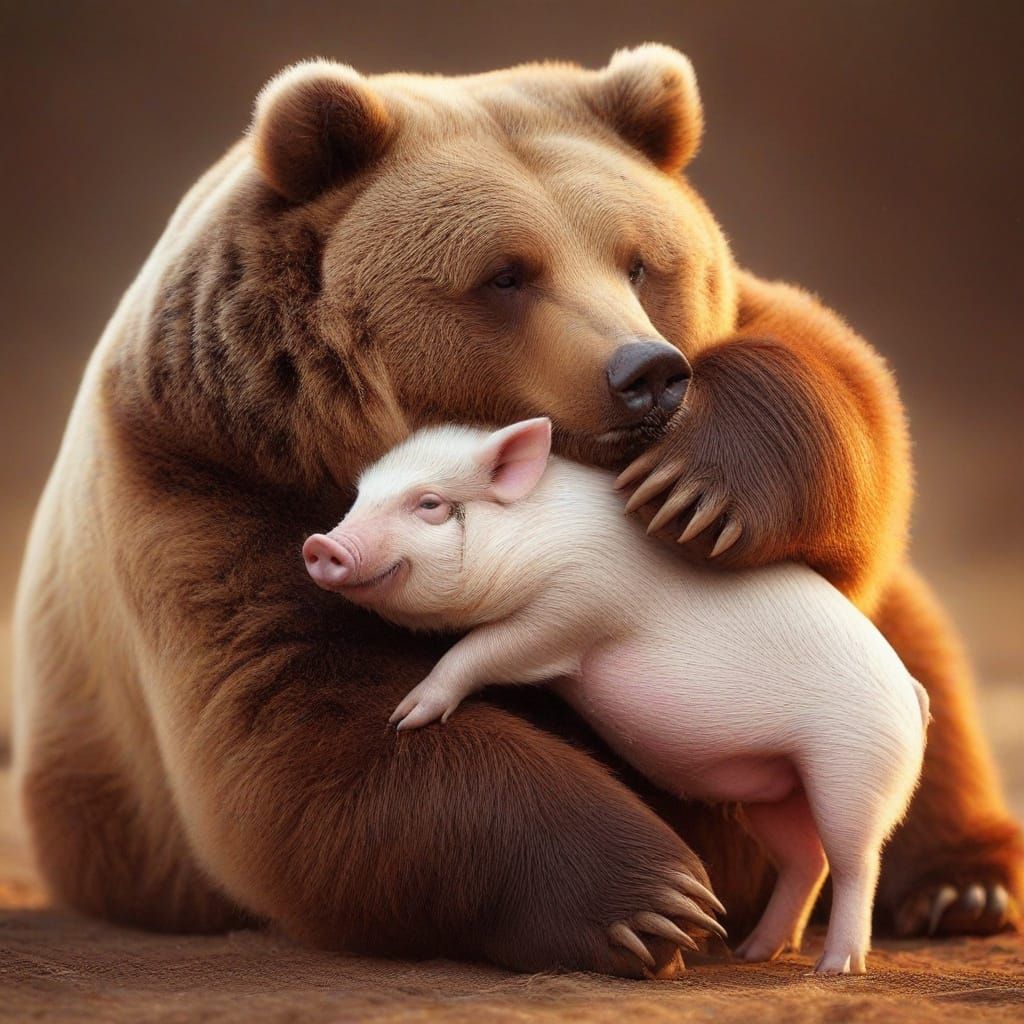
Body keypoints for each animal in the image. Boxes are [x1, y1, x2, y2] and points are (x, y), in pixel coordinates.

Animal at [302, 417, 929, 975]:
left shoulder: (574, 608)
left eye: (429, 504)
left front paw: (408, 715)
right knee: (805, 861)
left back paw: (834, 968)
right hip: (774, 787)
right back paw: (753, 954)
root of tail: (911, 693)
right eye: (359, 497)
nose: (318, 543)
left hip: (856, 767)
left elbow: (483, 649)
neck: (536, 529)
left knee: (856, 862)